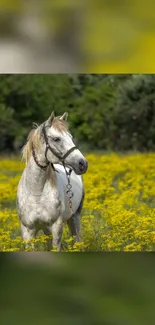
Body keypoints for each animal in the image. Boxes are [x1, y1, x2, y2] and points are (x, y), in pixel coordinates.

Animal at [16, 111, 88, 251]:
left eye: (70, 137)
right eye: (56, 139)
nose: (83, 164)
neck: (36, 192)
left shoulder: (56, 227)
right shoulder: (28, 231)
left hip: (74, 217)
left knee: (77, 239)